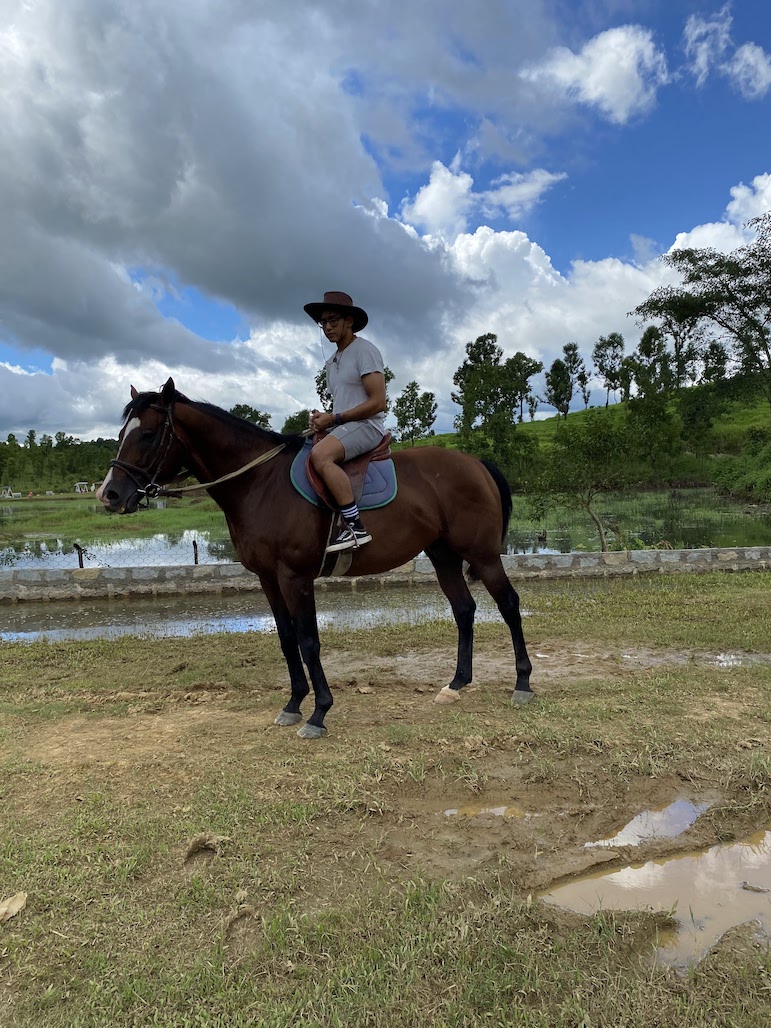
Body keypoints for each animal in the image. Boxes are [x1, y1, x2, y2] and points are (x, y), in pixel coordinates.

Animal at [97, 378, 533, 737]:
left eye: (148, 435)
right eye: (121, 434)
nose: (109, 495)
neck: (259, 483)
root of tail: (475, 463)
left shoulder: (295, 577)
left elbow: (309, 640)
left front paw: (319, 712)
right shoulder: (268, 579)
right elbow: (287, 639)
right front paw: (293, 704)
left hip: (483, 555)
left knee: (509, 605)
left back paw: (523, 683)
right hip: (443, 557)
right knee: (464, 609)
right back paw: (457, 682)